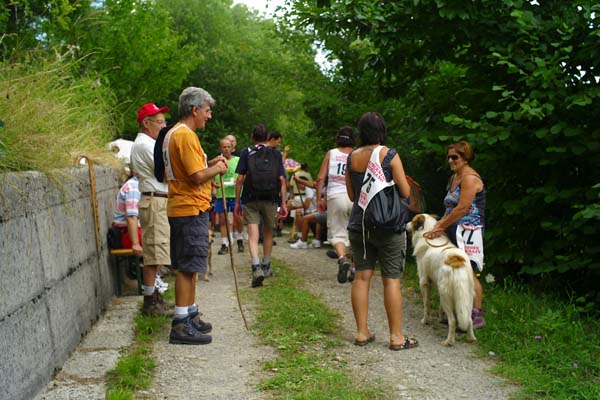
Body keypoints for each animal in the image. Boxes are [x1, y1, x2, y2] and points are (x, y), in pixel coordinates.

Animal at [406, 214, 476, 346]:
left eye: (412, 221)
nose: (404, 224)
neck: (427, 231)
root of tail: (456, 260)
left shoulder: (424, 282)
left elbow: (426, 304)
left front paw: (425, 321)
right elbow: (439, 307)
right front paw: (440, 319)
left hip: (446, 295)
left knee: (453, 320)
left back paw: (449, 341)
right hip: (467, 296)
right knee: (469, 319)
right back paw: (471, 338)